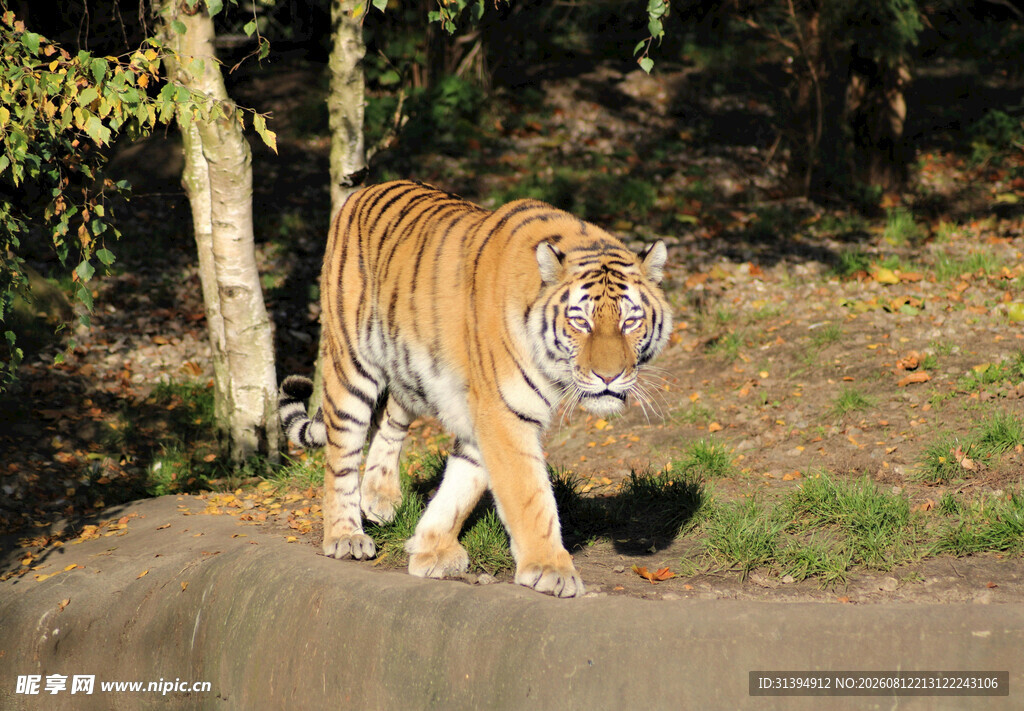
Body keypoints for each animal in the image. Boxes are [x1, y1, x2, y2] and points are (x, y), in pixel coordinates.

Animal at [279, 180, 671, 598]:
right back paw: (345, 535)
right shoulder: (504, 412)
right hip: (351, 362)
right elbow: (529, 495)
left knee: (391, 421)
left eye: (630, 322)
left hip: (409, 369)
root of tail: (363, 190)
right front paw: (550, 569)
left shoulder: (484, 412)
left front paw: (430, 548)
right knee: (342, 453)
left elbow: (463, 483)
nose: (608, 376)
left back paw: (380, 497)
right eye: (580, 321)